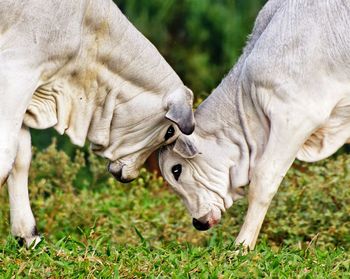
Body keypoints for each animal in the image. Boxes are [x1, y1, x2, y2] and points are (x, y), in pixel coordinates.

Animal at [0, 0, 194, 249]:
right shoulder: (17, 73)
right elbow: (6, 156)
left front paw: (27, 235)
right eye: (170, 131)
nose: (129, 175)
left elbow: (20, 160)